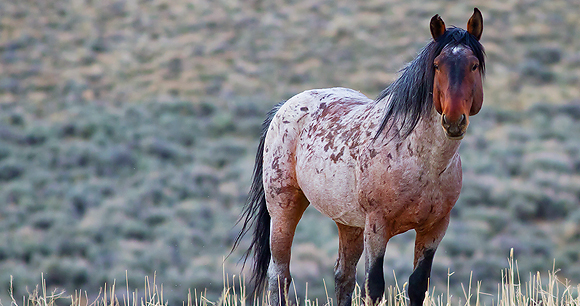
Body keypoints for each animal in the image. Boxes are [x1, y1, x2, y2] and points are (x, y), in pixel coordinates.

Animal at [232, 8, 484, 306]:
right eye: (436, 65)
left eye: (473, 65)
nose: (454, 120)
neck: (423, 162)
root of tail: (285, 106)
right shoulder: (377, 227)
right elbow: (373, 287)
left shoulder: (434, 229)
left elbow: (417, 286)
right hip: (283, 208)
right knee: (279, 276)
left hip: (348, 223)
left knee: (343, 277)